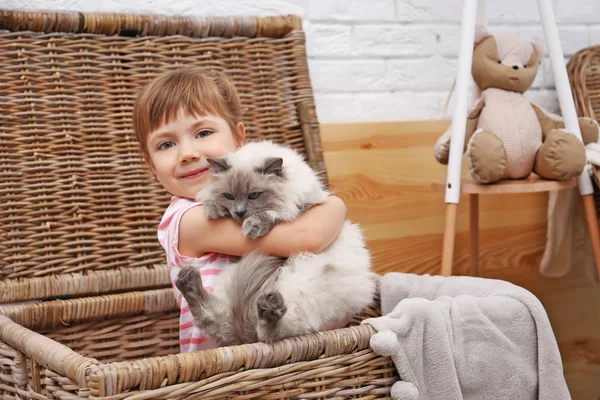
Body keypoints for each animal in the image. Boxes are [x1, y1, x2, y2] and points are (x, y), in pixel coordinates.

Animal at [173, 141, 376, 346]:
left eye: (254, 195)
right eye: (229, 196)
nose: (239, 213)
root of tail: (246, 338)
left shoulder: (301, 208)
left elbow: (273, 214)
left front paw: (252, 226)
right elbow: (210, 201)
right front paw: (213, 210)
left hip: (303, 294)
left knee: (272, 335)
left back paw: (268, 310)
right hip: (230, 278)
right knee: (221, 324)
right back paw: (188, 280)